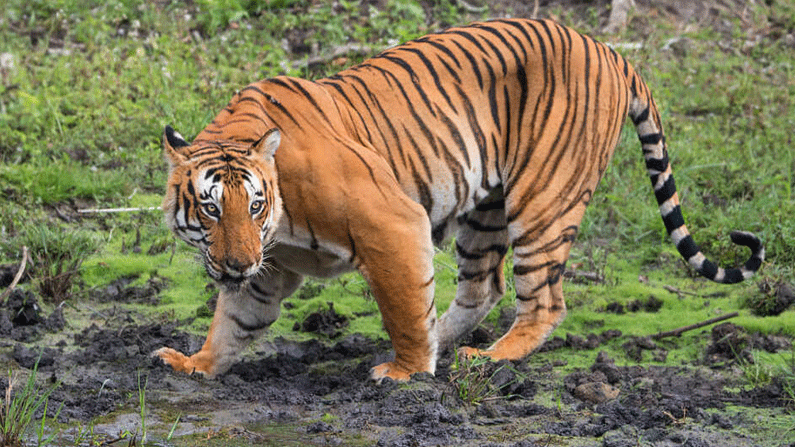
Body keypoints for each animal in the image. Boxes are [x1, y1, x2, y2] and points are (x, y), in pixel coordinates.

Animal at [151, 17, 764, 382]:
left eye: (254, 205)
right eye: (211, 208)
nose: (236, 263)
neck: (276, 225)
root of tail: (613, 52)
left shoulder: (391, 223)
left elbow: (401, 304)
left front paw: (406, 371)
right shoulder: (266, 266)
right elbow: (235, 320)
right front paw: (195, 362)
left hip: (543, 201)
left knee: (543, 300)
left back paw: (485, 358)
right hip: (486, 208)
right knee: (482, 287)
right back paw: (443, 345)